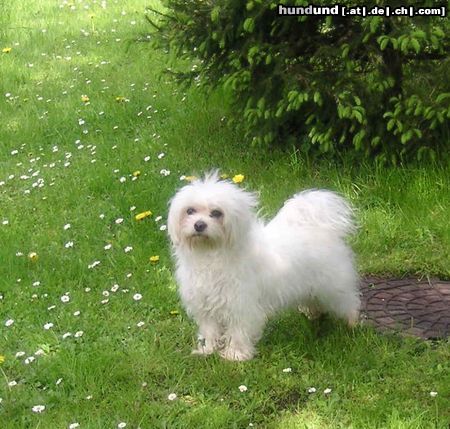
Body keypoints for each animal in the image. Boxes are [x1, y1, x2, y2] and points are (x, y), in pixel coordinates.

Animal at [167, 172, 360, 360]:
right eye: (190, 211)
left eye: (216, 213)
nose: (199, 225)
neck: (210, 254)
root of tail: (319, 227)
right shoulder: (204, 305)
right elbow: (210, 330)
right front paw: (208, 350)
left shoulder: (241, 305)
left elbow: (238, 331)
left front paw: (235, 354)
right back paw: (313, 313)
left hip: (333, 286)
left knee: (349, 301)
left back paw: (353, 323)